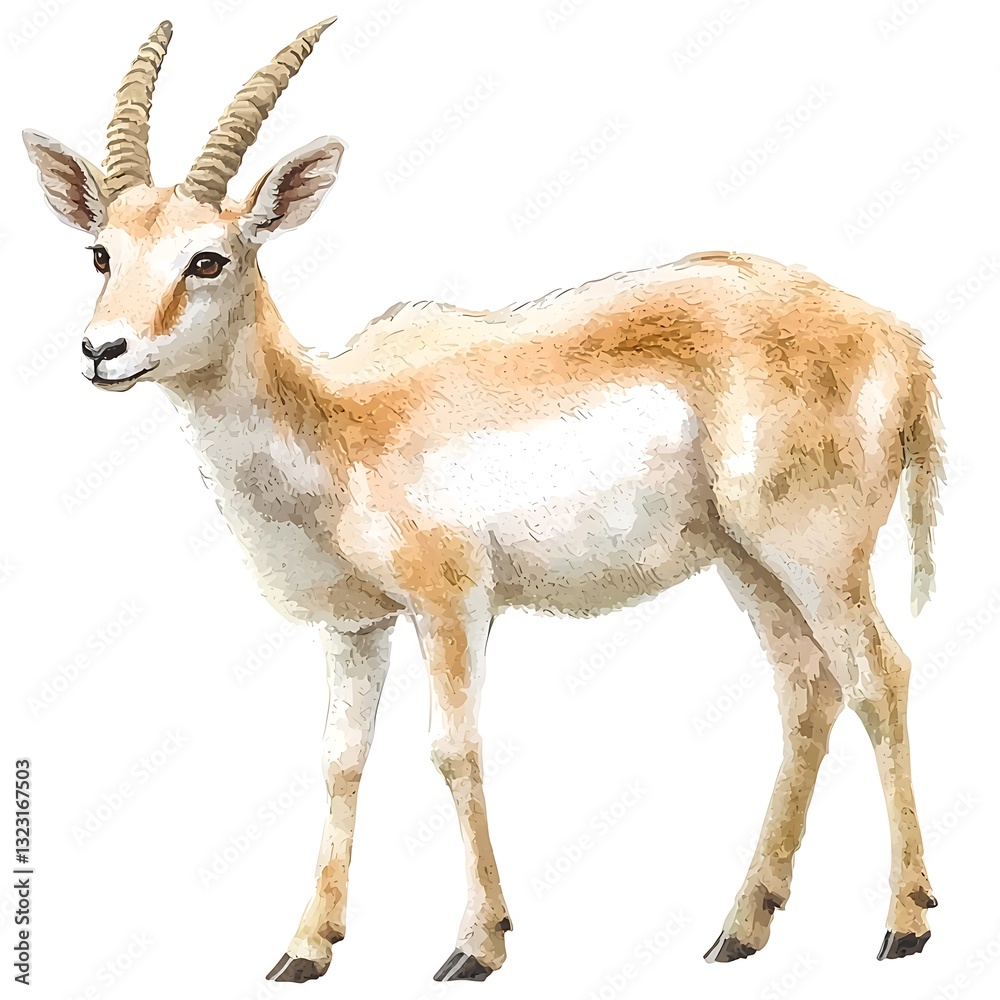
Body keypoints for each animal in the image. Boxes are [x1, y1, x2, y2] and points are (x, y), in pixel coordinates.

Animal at [24, 17, 942, 984]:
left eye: (208, 257)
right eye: (101, 252)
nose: (103, 351)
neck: (339, 424)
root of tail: (899, 341)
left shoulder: (453, 603)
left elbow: (451, 748)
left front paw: (475, 944)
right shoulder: (355, 625)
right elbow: (339, 760)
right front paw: (306, 949)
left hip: (817, 553)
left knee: (880, 674)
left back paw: (904, 924)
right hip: (747, 562)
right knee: (807, 691)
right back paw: (739, 929)